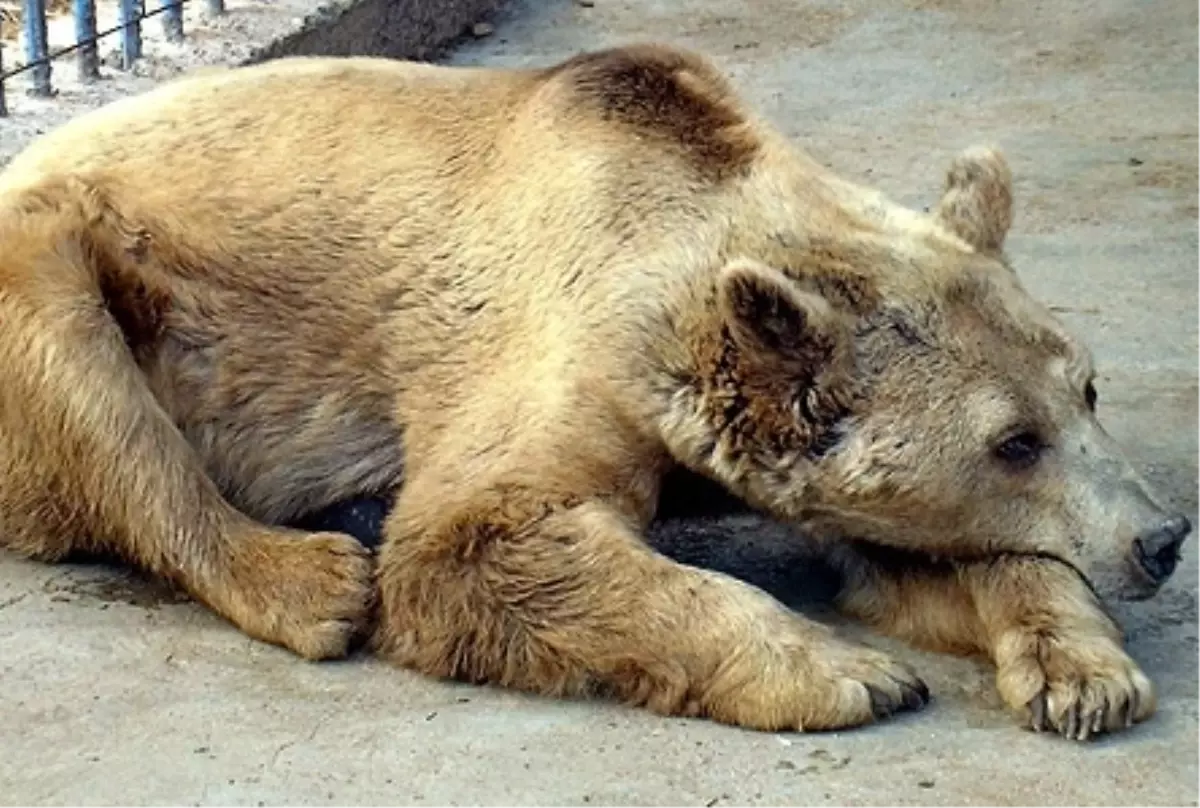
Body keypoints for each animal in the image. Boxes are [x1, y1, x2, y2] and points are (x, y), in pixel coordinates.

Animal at [0, 42, 1185, 739]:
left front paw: (1084, 674)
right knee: (96, 393)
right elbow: (479, 538)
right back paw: (310, 576)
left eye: (1085, 390)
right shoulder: (556, 340)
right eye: (1012, 440)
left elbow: (927, 557)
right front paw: (849, 672)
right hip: (73, 257)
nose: (1162, 536)